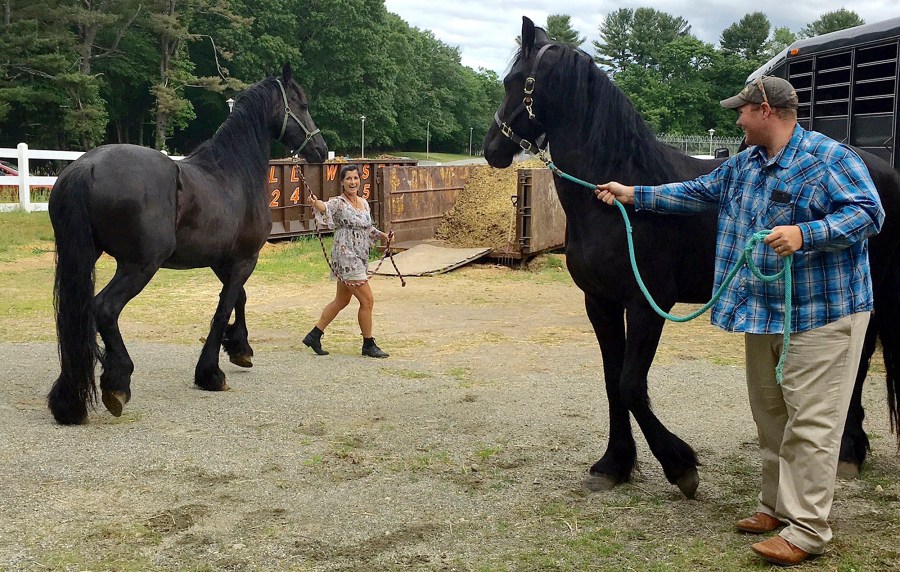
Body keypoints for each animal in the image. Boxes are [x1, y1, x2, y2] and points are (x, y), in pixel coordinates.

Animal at [47, 64, 328, 425]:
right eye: (302, 105)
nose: (320, 150)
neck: (232, 172)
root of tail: (85, 167)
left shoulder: (222, 261)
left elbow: (239, 299)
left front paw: (240, 349)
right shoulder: (244, 259)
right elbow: (224, 308)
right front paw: (211, 373)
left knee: (78, 315)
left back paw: (68, 402)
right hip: (139, 266)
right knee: (104, 309)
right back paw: (117, 382)